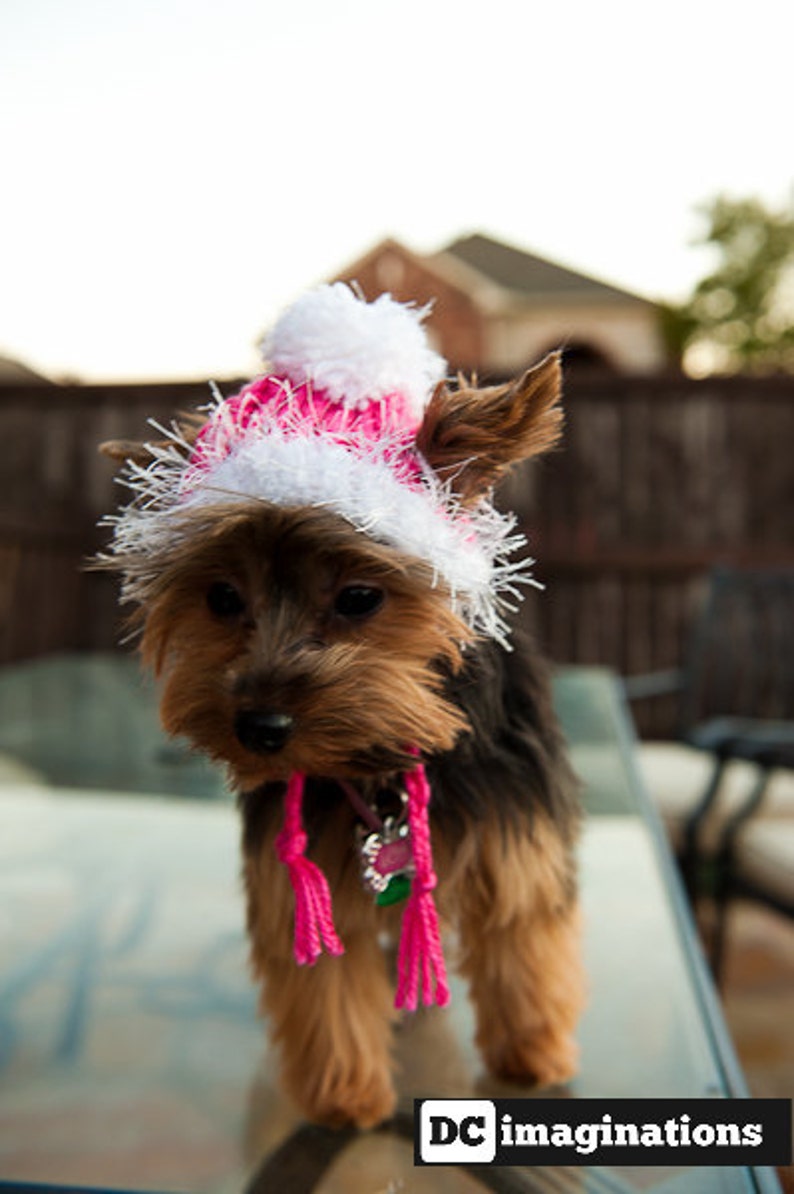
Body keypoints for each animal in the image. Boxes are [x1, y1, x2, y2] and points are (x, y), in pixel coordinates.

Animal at [97, 284, 582, 1122]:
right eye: (222, 598)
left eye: (359, 597)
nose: (260, 726)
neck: (378, 755)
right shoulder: (301, 860)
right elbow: (325, 981)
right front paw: (345, 1096)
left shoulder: (515, 830)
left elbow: (521, 941)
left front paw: (530, 1056)